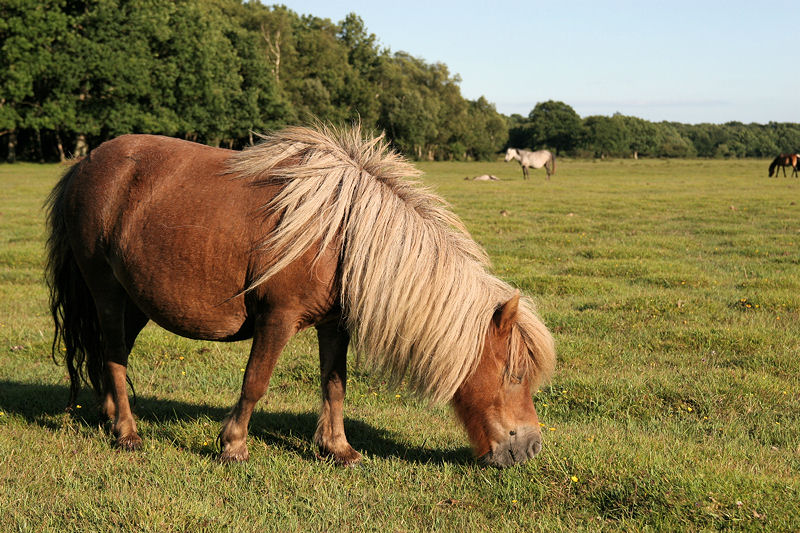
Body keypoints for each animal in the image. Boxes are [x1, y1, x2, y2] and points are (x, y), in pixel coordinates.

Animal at [43, 124, 556, 466]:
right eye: (513, 375)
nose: (530, 447)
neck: (342, 234)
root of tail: (85, 163)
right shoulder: (278, 318)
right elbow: (255, 382)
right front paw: (233, 445)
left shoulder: (334, 324)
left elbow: (335, 385)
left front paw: (338, 448)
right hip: (107, 292)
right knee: (113, 355)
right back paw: (127, 433)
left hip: (136, 301)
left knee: (111, 355)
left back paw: (110, 416)